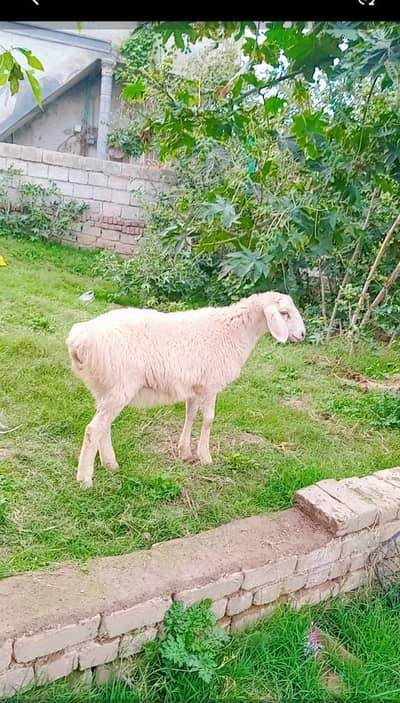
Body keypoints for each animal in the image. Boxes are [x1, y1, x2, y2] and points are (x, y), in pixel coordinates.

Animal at [66, 291, 306, 488]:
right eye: (284, 313)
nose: (303, 335)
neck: (233, 331)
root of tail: (77, 341)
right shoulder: (210, 386)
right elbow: (208, 420)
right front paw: (205, 456)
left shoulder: (195, 387)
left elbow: (190, 416)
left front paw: (185, 451)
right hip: (118, 387)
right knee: (93, 430)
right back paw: (85, 479)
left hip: (104, 388)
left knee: (103, 428)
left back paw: (110, 464)